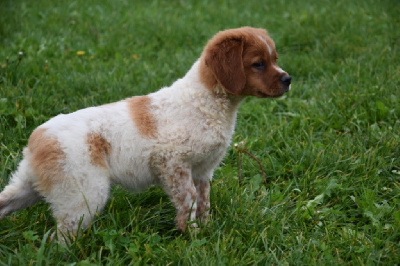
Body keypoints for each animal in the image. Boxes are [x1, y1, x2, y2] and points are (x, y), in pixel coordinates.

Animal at [0, 26, 290, 239]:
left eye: (275, 59)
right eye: (258, 64)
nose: (289, 79)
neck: (208, 102)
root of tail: (38, 138)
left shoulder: (202, 171)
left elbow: (204, 202)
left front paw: (205, 232)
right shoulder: (173, 163)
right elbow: (189, 200)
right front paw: (192, 237)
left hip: (30, 186)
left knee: (7, 203)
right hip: (84, 196)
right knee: (59, 238)